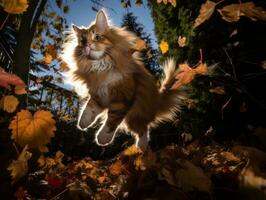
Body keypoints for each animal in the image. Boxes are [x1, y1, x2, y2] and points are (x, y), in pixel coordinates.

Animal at [60, 9, 186, 150]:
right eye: (82, 41)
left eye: (97, 37)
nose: (87, 45)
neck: (101, 66)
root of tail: (156, 102)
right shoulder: (99, 95)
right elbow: (88, 109)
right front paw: (82, 123)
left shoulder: (123, 99)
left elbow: (111, 121)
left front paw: (103, 138)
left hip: (134, 115)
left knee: (143, 130)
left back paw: (141, 149)